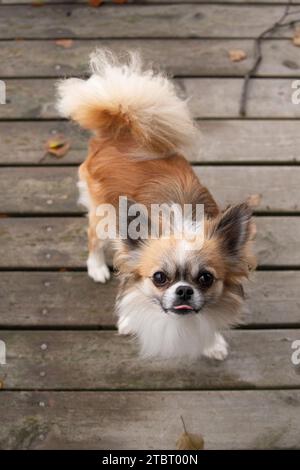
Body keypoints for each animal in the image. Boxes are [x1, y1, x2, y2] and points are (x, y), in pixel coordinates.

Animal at [56, 50, 255, 360]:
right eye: (159, 277)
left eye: (206, 278)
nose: (184, 291)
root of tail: (121, 128)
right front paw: (129, 320)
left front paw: (212, 343)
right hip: (103, 216)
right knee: (92, 238)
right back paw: (97, 267)